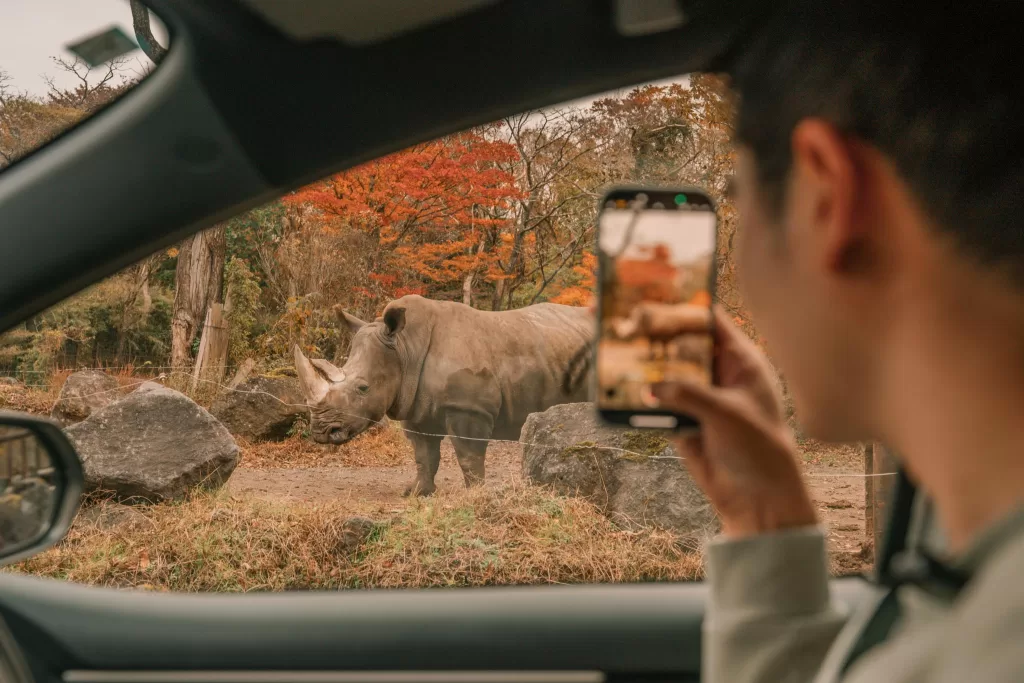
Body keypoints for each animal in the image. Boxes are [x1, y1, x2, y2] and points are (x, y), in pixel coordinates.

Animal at [293, 294, 592, 496]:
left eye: (363, 388)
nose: (321, 432)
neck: (404, 348)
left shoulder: (468, 408)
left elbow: (468, 456)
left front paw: (476, 495)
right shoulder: (414, 405)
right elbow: (424, 456)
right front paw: (416, 493)